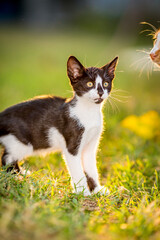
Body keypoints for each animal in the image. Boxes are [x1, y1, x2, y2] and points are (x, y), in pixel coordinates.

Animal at [0, 55, 117, 195]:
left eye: (105, 83)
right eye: (90, 84)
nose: (100, 93)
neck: (88, 112)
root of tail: (2, 116)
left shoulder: (91, 145)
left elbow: (91, 168)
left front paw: (97, 190)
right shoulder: (71, 146)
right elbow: (78, 171)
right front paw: (83, 193)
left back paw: (22, 174)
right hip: (21, 143)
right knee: (6, 159)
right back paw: (16, 177)